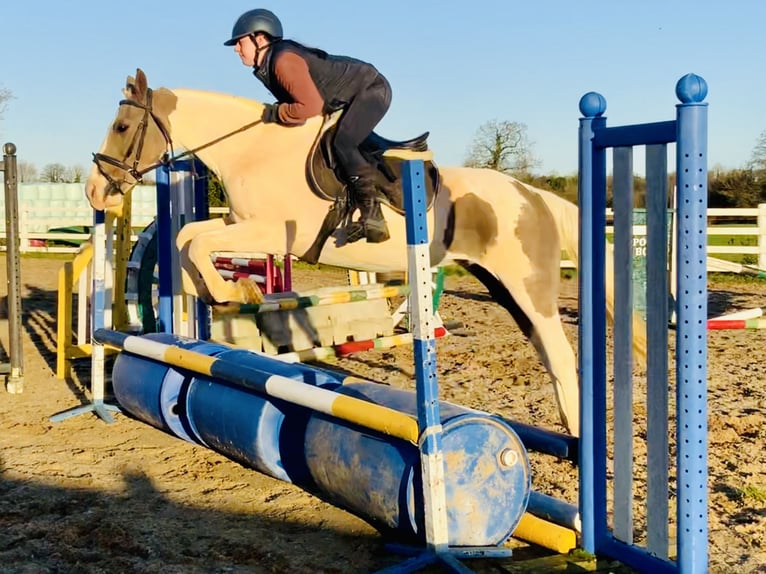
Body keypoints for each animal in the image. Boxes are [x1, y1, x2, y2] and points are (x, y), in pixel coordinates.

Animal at [84, 68, 648, 436]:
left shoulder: (273, 234)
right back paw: (570, 433)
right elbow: (187, 241)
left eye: (121, 127)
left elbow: (197, 243)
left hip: (528, 288)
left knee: (562, 353)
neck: (252, 151)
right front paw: (225, 291)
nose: (95, 192)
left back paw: (579, 441)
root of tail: (534, 196)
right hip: (503, 289)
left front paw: (235, 289)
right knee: (549, 356)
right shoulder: (239, 223)